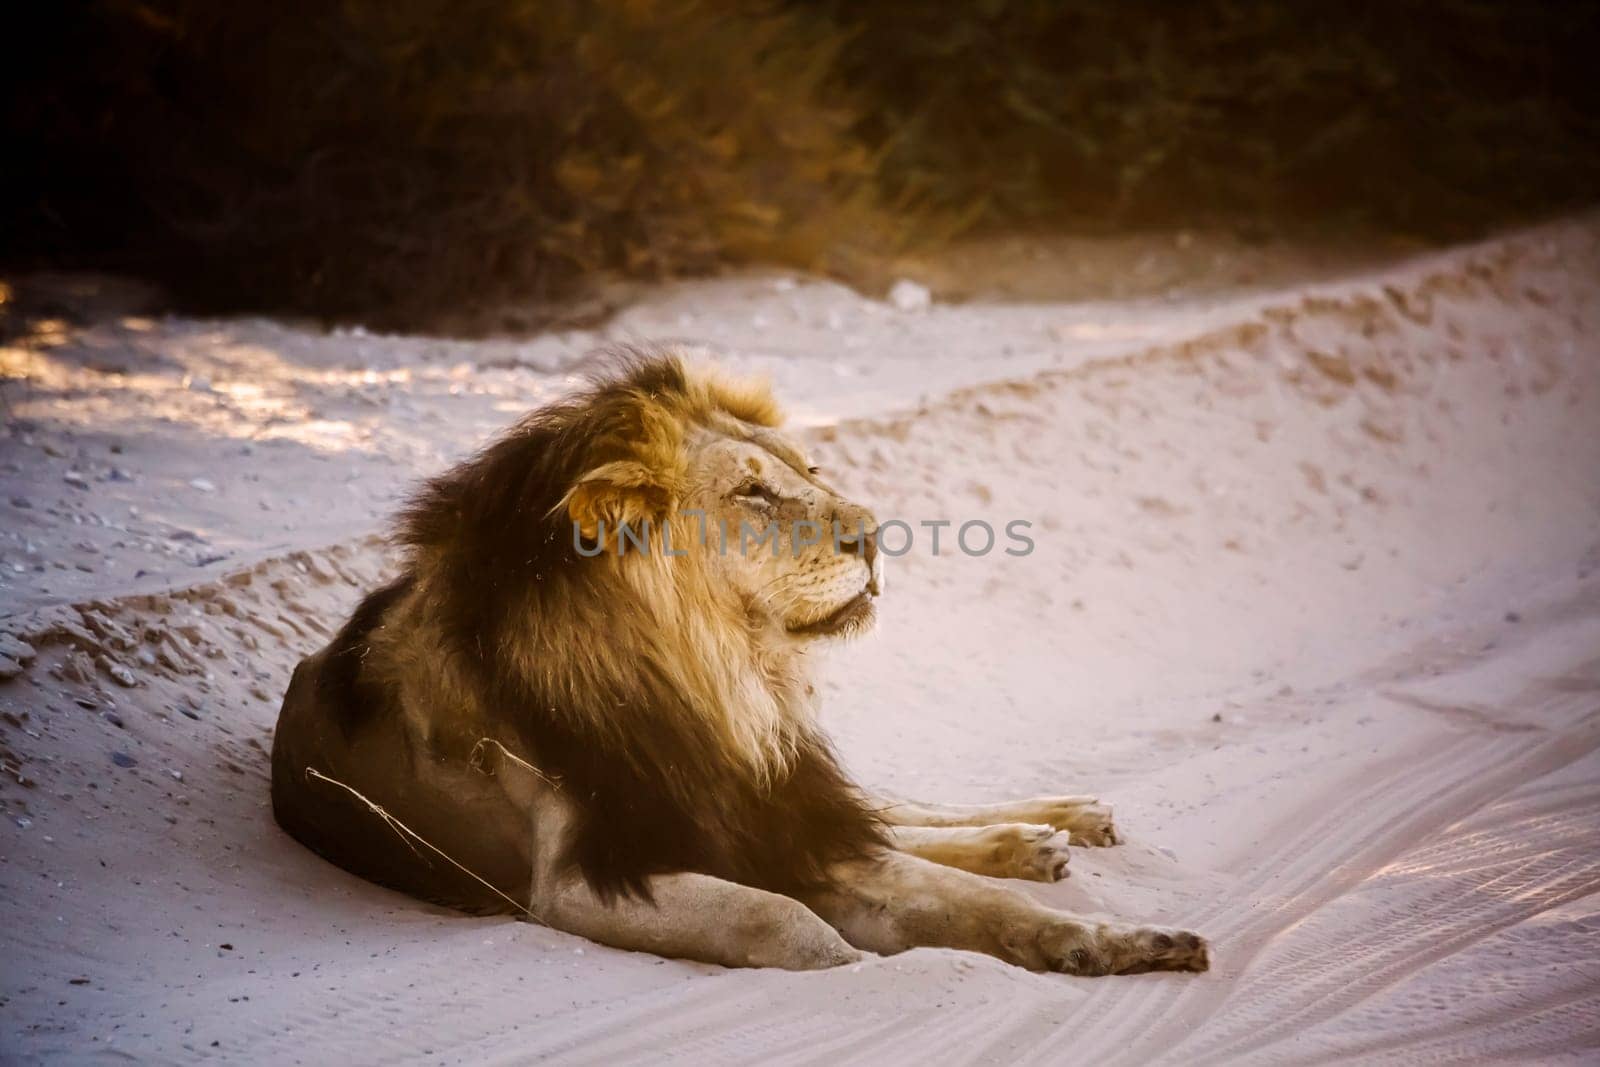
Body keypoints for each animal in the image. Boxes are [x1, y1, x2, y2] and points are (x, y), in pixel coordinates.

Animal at [272, 350, 1209, 979]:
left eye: (810, 469)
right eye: (753, 491)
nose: (876, 533)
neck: (715, 678)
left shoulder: (770, 806)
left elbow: (966, 896)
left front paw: (1121, 940)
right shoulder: (578, 875)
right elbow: (782, 919)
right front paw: (861, 966)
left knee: (897, 809)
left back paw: (1055, 826)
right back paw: (1039, 839)